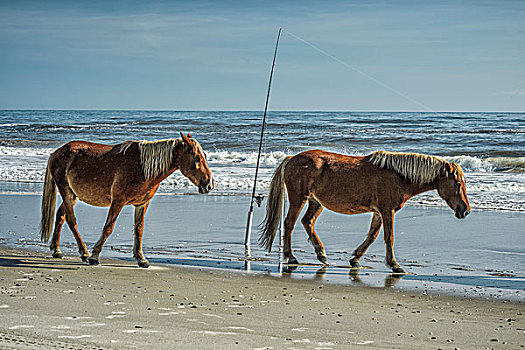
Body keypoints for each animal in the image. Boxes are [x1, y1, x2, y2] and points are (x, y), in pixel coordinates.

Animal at [40, 133, 214, 266]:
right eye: (196, 157)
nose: (209, 185)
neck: (143, 168)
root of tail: (56, 152)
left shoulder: (142, 204)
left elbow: (139, 229)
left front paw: (141, 258)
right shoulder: (118, 201)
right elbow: (108, 228)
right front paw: (95, 256)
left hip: (73, 194)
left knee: (61, 216)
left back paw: (57, 250)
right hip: (66, 192)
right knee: (71, 220)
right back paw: (84, 253)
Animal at [260, 150, 468, 274]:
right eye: (458, 183)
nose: (465, 211)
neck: (398, 176)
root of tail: (291, 159)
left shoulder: (379, 212)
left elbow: (372, 235)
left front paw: (355, 258)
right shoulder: (387, 211)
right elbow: (389, 237)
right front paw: (394, 265)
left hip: (315, 202)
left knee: (307, 222)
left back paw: (321, 254)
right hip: (299, 199)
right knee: (289, 223)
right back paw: (291, 256)